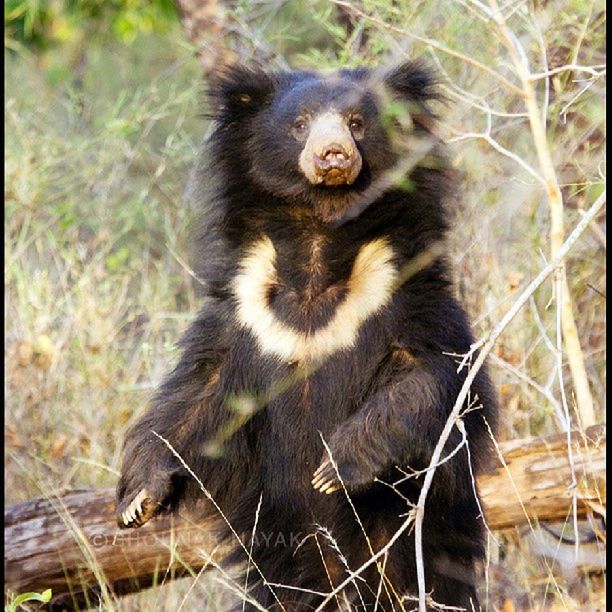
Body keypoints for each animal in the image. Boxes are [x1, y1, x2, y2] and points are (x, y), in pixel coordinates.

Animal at [116, 59, 498, 608]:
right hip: (285, 549)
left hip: (418, 538)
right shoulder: (245, 316)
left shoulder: (404, 293)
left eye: (357, 123)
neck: (319, 240)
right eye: (300, 124)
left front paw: (332, 468)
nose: (333, 153)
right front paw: (137, 501)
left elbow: (432, 378)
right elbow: (195, 400)